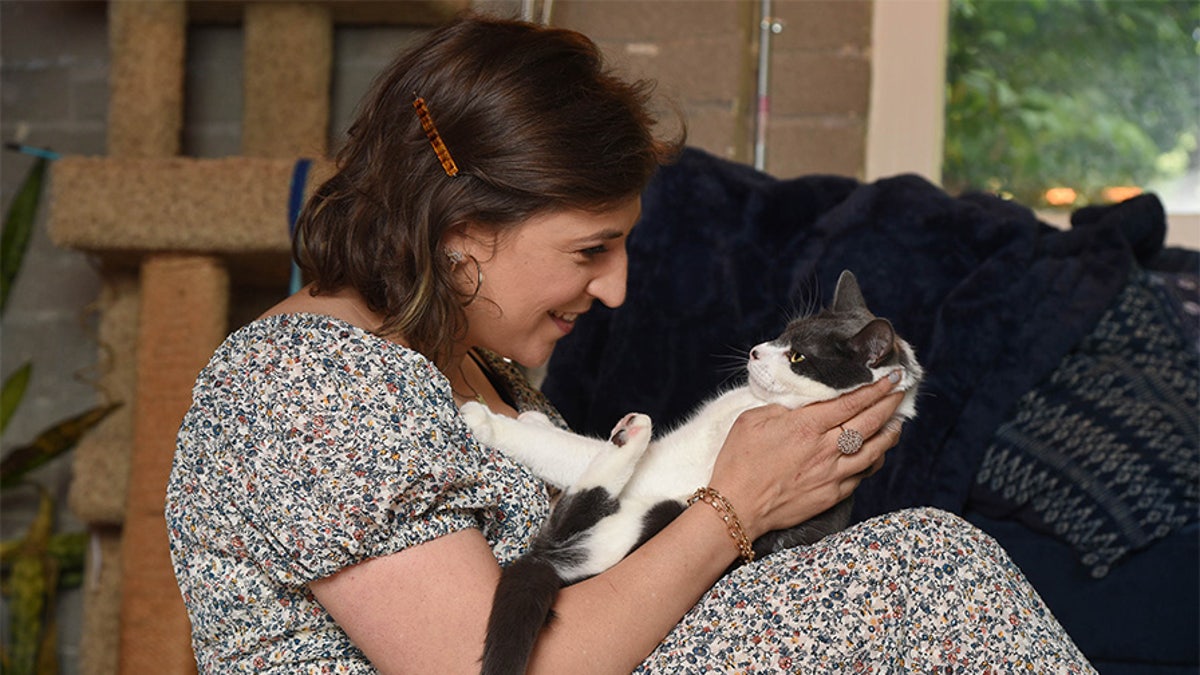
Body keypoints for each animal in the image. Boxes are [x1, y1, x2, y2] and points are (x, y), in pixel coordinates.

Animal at [463, 269, 921, 672]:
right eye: (784, 333)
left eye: (797, 357)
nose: (755, 351)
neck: (755, 404)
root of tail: (555, 568)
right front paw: (536, 419)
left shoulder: (665, 468)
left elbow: (567, 450)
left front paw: (493, 424)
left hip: (644, 519)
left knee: (576, 513)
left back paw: (628, 434)